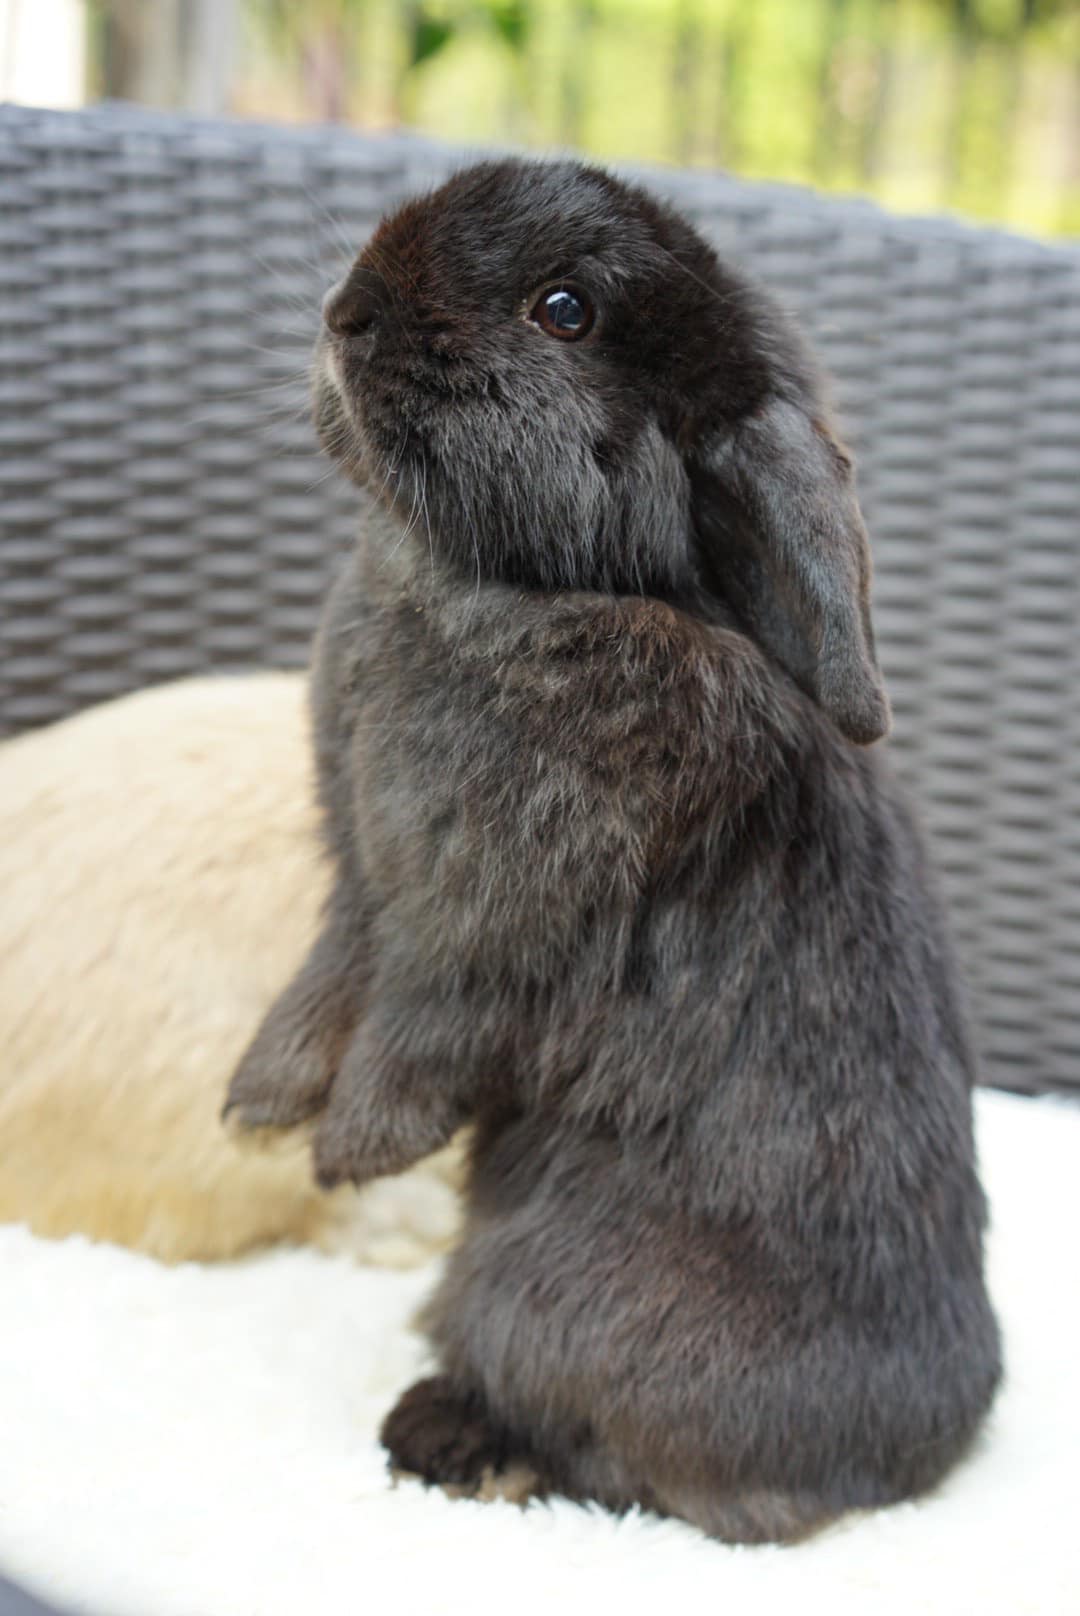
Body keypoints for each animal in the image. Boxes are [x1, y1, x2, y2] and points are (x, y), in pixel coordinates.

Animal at [225, 158, 1002, 1542]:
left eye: (566, 310)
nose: (346, 312)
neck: (525, 584)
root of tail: (917, 1468)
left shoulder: (484, 932)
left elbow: (420, 1027)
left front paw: (348, 1150)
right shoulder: (363, 884)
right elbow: (326, 976)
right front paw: (259, 1105)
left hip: (544, 1286)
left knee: (609, 1460)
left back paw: (444, 1437)